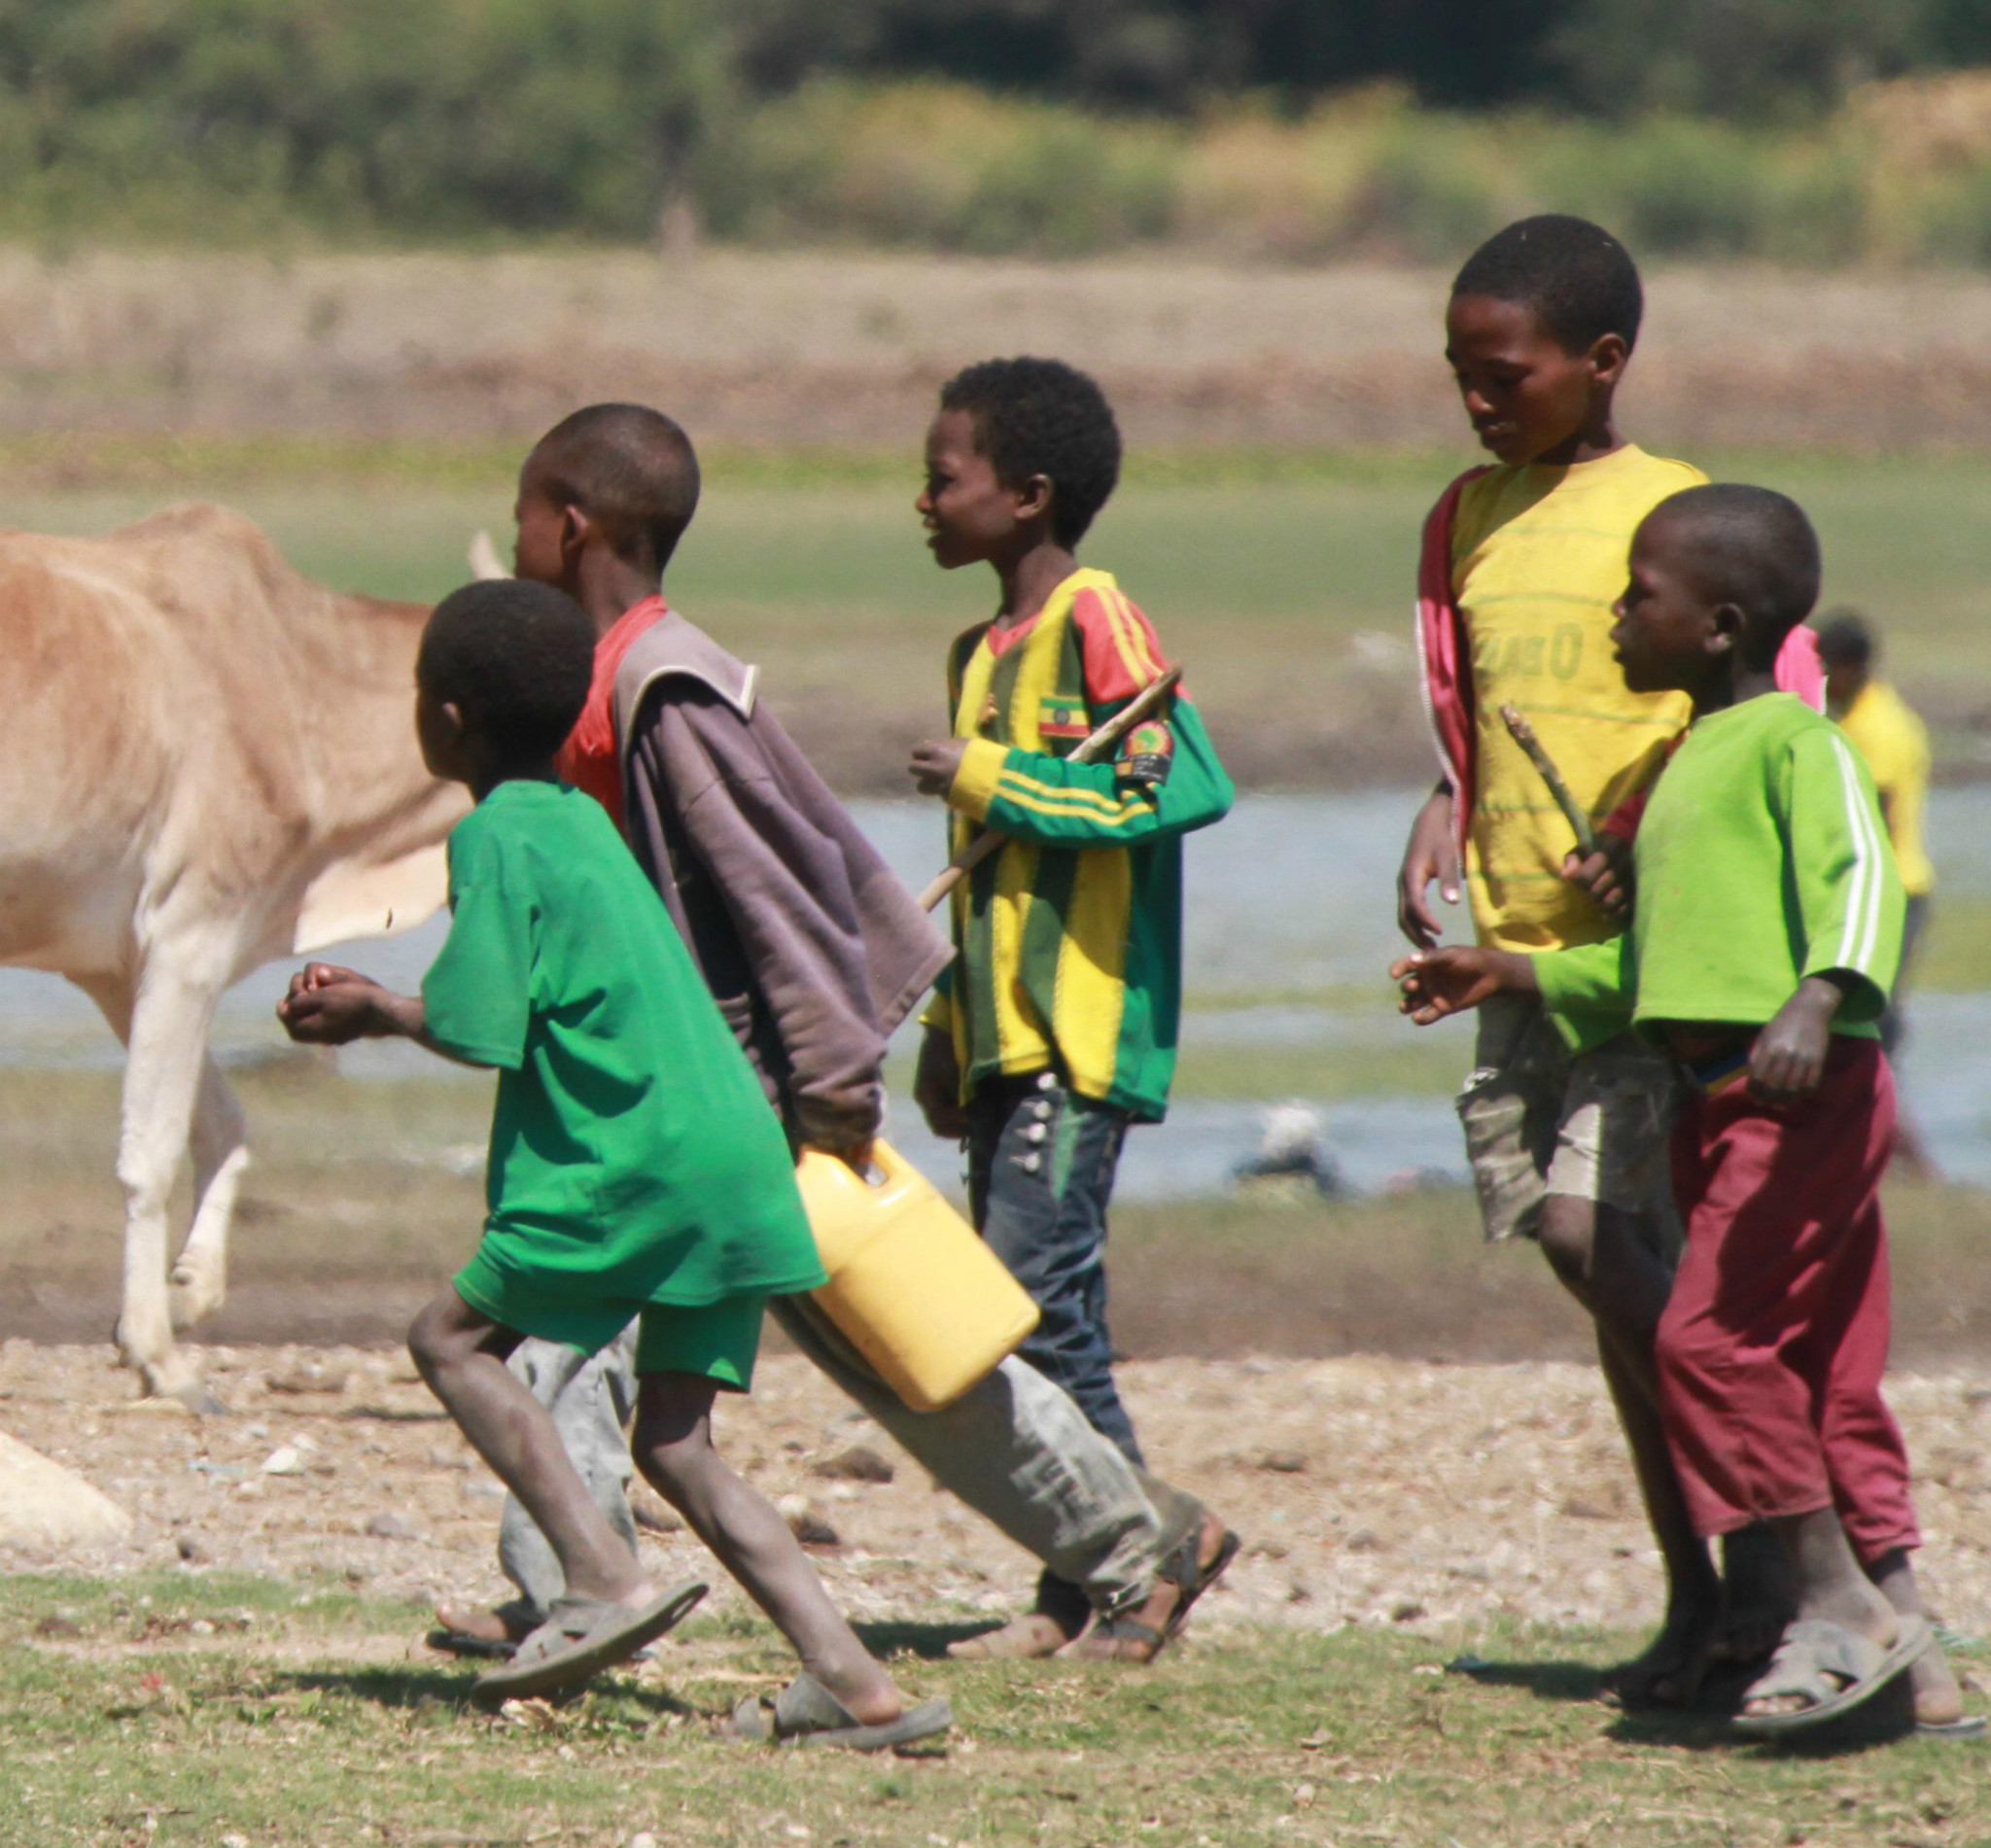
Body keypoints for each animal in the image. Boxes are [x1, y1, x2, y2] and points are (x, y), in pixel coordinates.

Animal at [0, 506, 464, 1402]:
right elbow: (148, 1154)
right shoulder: (192, 939)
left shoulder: (121, 970)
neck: (291, 672)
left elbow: (222, 1122)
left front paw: (182, 1294)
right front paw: (158, 1352)